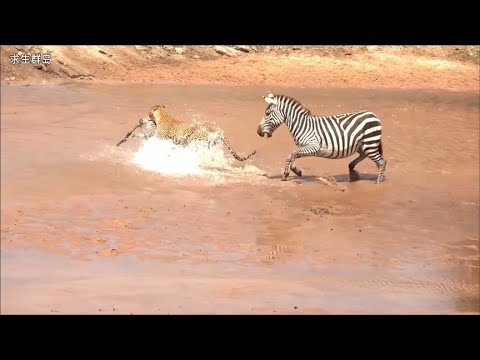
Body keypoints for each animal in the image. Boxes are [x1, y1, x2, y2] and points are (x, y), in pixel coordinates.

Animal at [255, 91, 386, 184]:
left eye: (267, 114)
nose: (258, 132)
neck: (302, 125)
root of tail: (372, 115)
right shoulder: (305, 147)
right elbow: (292, 155)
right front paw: (296, 171)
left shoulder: (314, 146)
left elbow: (292, 154)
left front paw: (286, 174)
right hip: (362, 145)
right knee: (365, 157)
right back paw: (352, 170)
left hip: (369, 143)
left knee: (382, 162)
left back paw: (378, 181)